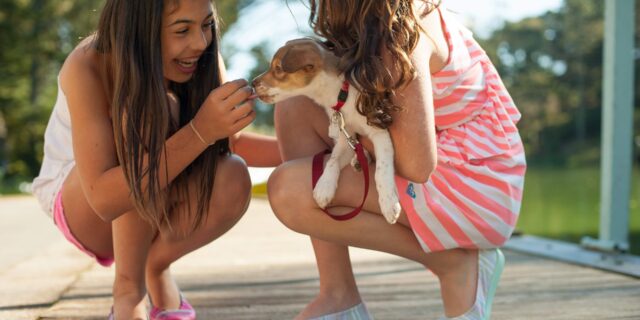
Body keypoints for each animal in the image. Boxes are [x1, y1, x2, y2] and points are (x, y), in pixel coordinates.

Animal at [251, 38, 398, 224]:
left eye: (277, 68)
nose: (252, 82)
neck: (340, 95)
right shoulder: (344, 136)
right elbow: (333, 159)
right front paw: (324, 187)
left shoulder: (380, 131)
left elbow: (382, 170)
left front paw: (389, 203)